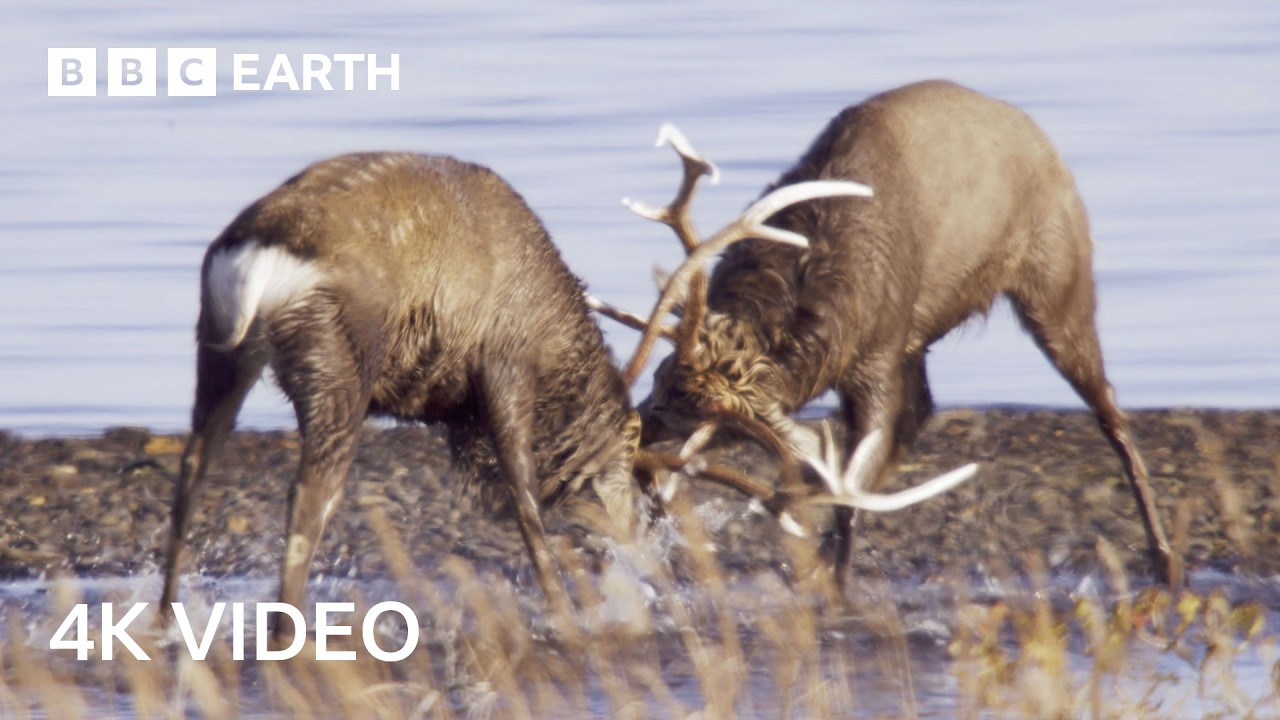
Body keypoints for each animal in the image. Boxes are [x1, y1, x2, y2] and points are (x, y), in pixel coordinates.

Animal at [161, 149, 881, 643]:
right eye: (629, 465)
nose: (641, 548)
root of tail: (250, 258)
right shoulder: (503, 364)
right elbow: (525, 497)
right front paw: (564, 611)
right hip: (336, 361)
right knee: (310, 496)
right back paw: (285, 632)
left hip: (216, 347)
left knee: (192, 469)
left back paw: (168, 619)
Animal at [599, 80, 1183, 589]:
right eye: (659, 378)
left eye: (698, 416)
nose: (631, 433)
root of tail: (1037, 133)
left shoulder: (875, 355)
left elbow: (850, 481)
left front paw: (837, 585)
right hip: (924, 335)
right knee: (921, 410)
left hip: (1057, 281)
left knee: (1108, 407)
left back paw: (1165, 559)